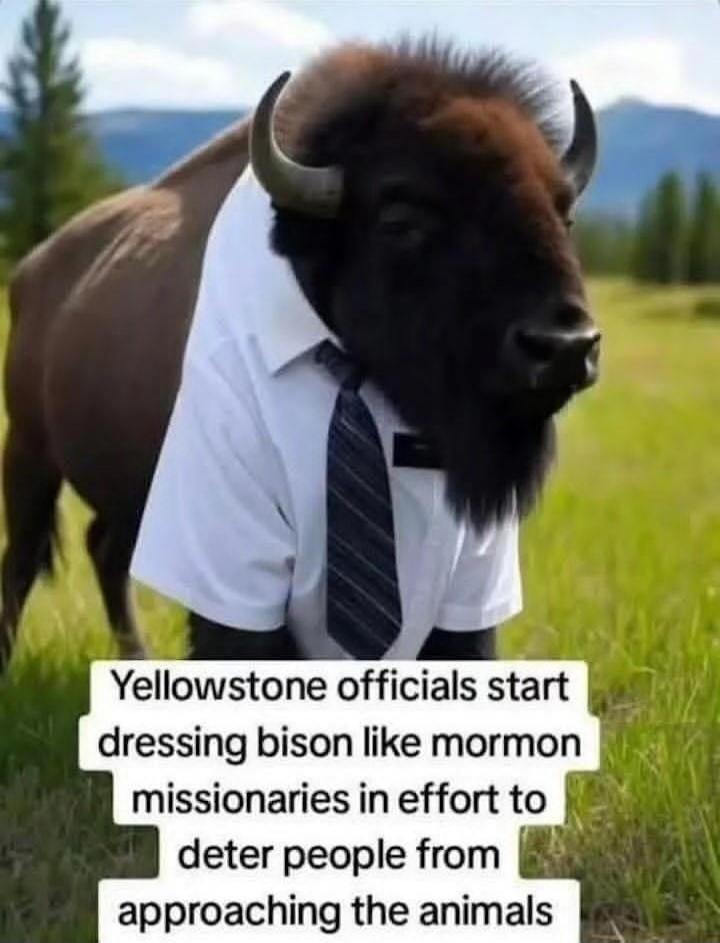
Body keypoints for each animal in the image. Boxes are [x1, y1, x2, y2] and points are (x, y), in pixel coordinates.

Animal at [0, 39, 599, 668]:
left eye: (564, 213)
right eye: (401, 217)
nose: (563, 346)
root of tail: (35, 267)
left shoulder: (473, 566)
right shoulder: (236, 538)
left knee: (104, 551)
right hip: (30, 451)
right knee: (22, 561)